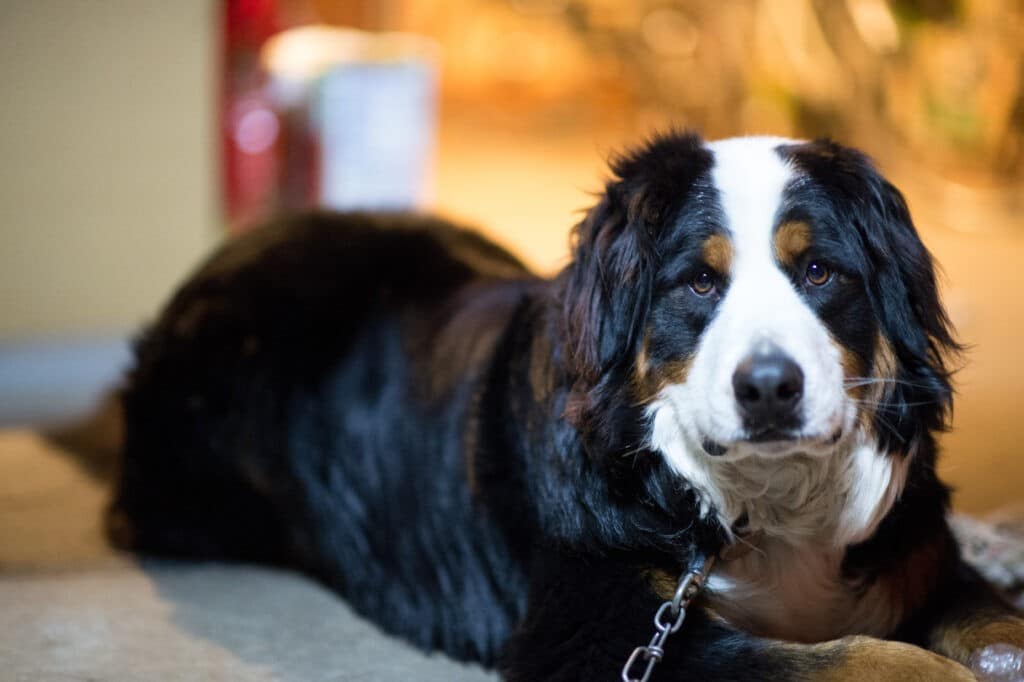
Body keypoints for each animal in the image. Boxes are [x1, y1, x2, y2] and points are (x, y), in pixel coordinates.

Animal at [110, 130, 1024, 675]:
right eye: (700, 282)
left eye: (820, 272)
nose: (768, 387)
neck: (766, 505)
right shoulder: (599, 630)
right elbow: (849, 657)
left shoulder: (920, 557)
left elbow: (993, 619)